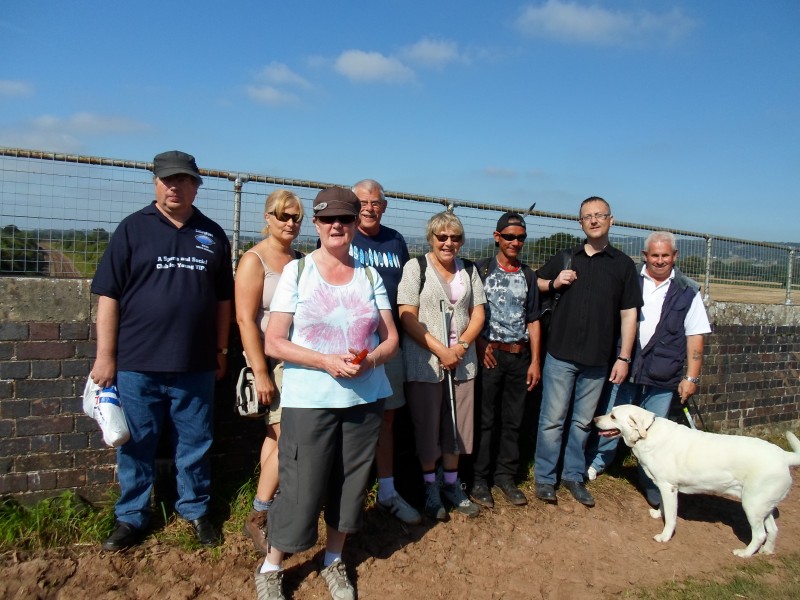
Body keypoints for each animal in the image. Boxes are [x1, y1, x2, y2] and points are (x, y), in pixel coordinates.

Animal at [592, 404, 800, 556]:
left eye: (613, 416)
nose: (594, 420)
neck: (647, 433)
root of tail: (784, 456)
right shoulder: (664, 487)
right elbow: (664, 507)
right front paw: (658, 514)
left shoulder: (669, 487)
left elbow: (671, 517)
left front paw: (664, 536)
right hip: (763, 505)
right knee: (773, 530)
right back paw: (767, 551)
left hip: (752, 505)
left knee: (759, 535)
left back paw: (744, 553)